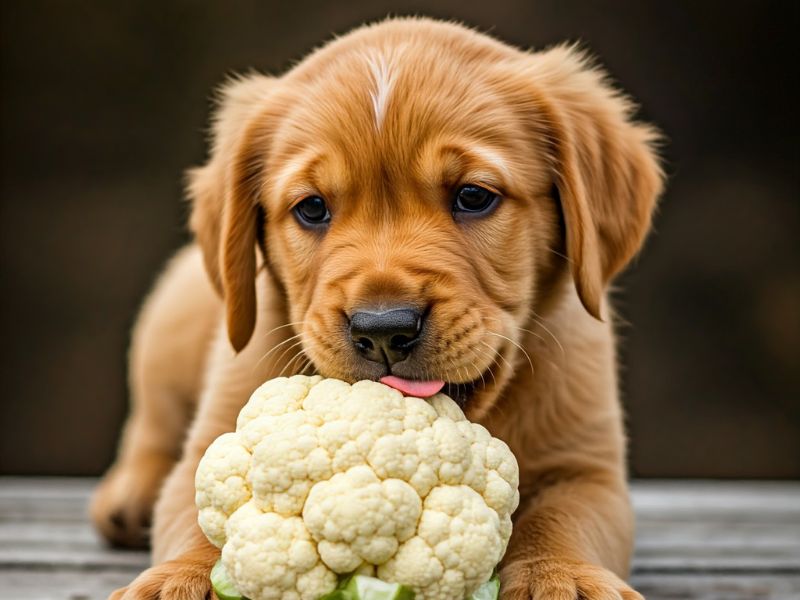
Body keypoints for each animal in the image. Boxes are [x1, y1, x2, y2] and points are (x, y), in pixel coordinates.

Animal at [90, 16, 664, 596]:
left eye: (474, 196)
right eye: (312, 208)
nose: (384, 330)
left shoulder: (586, 467)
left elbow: (562, 519)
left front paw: (562, 577)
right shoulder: (215, 441)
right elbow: (204, 517)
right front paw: (180, 577)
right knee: (152, 423)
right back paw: (128, 494)